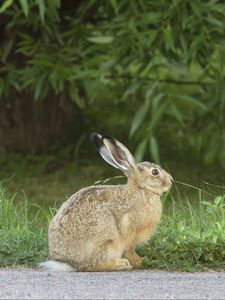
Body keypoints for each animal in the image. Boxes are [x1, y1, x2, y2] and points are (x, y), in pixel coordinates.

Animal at [40, 134, 172, 272]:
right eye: (155, 172)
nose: (171, 180)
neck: (141, 189)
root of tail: (69, 263)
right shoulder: (130, 232)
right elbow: (130, 250)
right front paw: (141, 261)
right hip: (108, 240)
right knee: (90, 265)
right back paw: (120, 264)